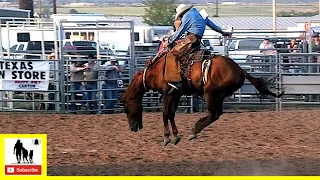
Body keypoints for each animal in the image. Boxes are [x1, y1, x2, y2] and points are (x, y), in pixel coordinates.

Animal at [119, 51, 282, 146]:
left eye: (126, 109)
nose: (133, 128)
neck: (156, 70)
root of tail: (241, 70)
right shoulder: (175, 95)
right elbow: (171, 114)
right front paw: (176, 136)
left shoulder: (168, 94)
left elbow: (165, 114)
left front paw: (166, 138)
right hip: (219, 95)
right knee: (217, 114)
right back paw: (195, 130)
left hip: (210, 93)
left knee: (214, 114)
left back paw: (194, 130)